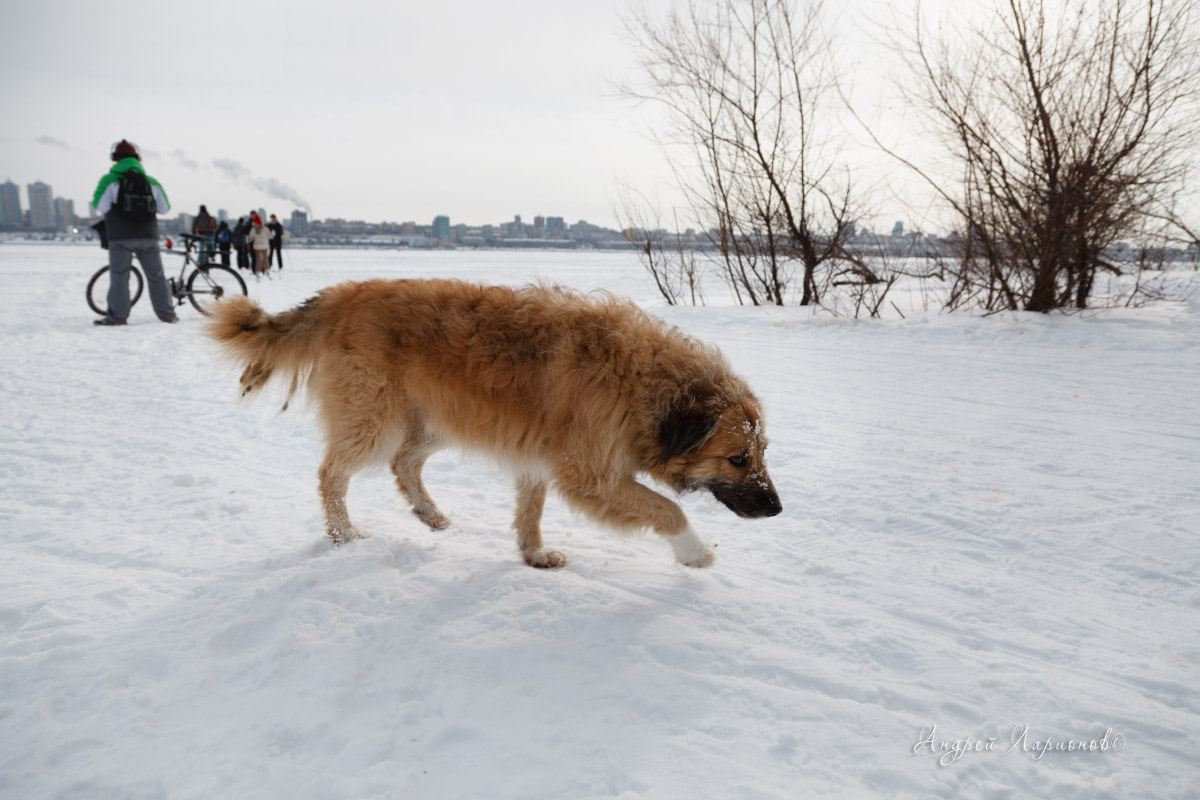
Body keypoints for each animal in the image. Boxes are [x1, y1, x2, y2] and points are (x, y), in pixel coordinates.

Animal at [206, 278, 782, 566]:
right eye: (737, 458)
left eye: (762, 453)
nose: (778, 509)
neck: (644, 381)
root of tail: (341, 294)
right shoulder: (591, 475)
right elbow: (668, 509)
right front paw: (695, 551)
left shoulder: (541, 457)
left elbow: (531, 508)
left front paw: (533, 554)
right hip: (374, 418)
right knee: (333, 475)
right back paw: (345, 536)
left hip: (434, 420)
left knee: (404, 463)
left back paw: (430, 515)